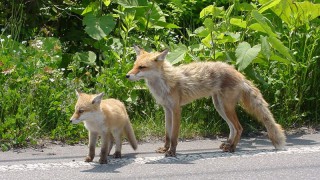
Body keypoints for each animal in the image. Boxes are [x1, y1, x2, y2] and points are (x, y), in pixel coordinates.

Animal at [125, 45, 284, 157]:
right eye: (134, 65)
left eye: (142, 67)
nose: (127, 76)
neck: (163, 84)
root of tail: (239, 73)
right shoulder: (167, 110)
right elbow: (167, 134)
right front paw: (165, 148)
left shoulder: (176, 109)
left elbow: (174, 135)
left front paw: (171, 152)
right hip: (219, 106)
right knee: (232, 127)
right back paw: (228, 144)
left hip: (226, 107)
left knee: (239, 128)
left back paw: (232, 148)